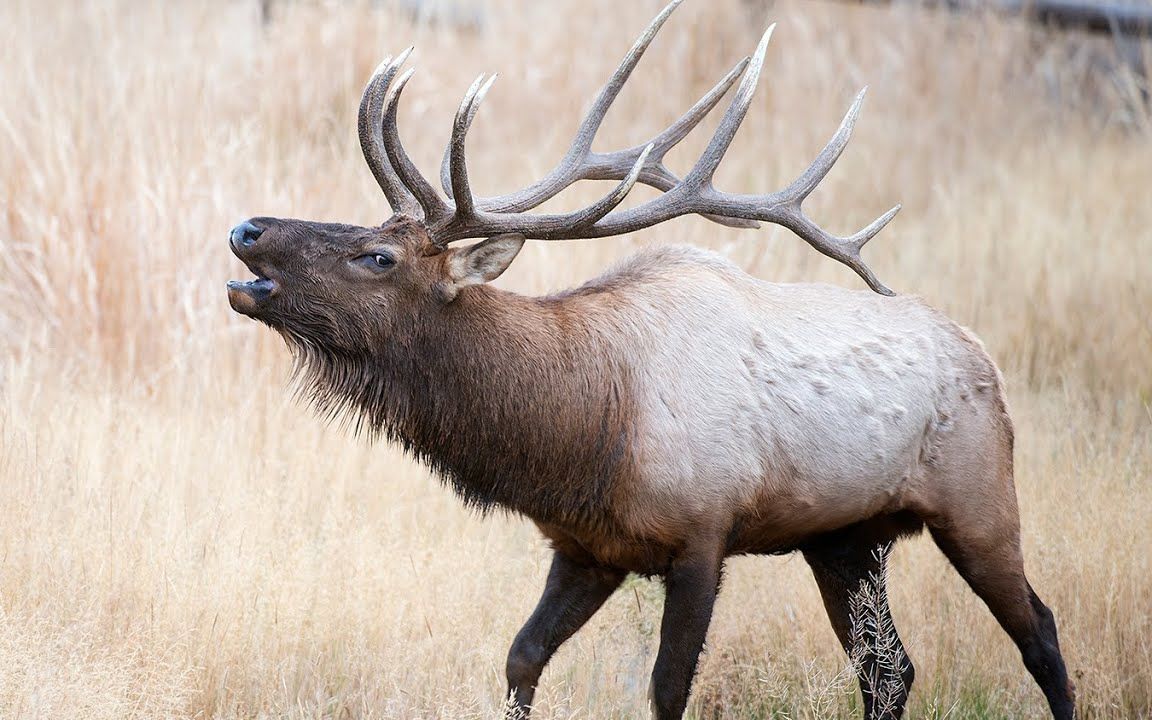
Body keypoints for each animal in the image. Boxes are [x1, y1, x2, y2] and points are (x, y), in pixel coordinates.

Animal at [226, 2, 1078, 714]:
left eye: (377, 257)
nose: (246, 229)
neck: (582, 428)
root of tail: (986, 361)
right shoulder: (586, 548)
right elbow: (521, 657)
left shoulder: (704, 533)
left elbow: (668, 687)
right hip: (845, 538)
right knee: (889, 669)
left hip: (979, 501)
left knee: (1040, 632)